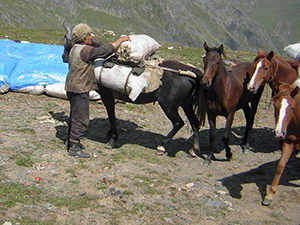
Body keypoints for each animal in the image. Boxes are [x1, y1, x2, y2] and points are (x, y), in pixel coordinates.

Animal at [61, 22, 206, 156]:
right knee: (194, 122)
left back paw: (162, 146)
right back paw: (194, 149)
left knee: (178, 123)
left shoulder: (106, 95)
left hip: (169, 106)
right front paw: (109, 135)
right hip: (186, 104)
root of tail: (190, 72)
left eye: (66, 37)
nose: (63, 57)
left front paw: (112, 139)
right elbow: (111, 115)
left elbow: (111, 115)